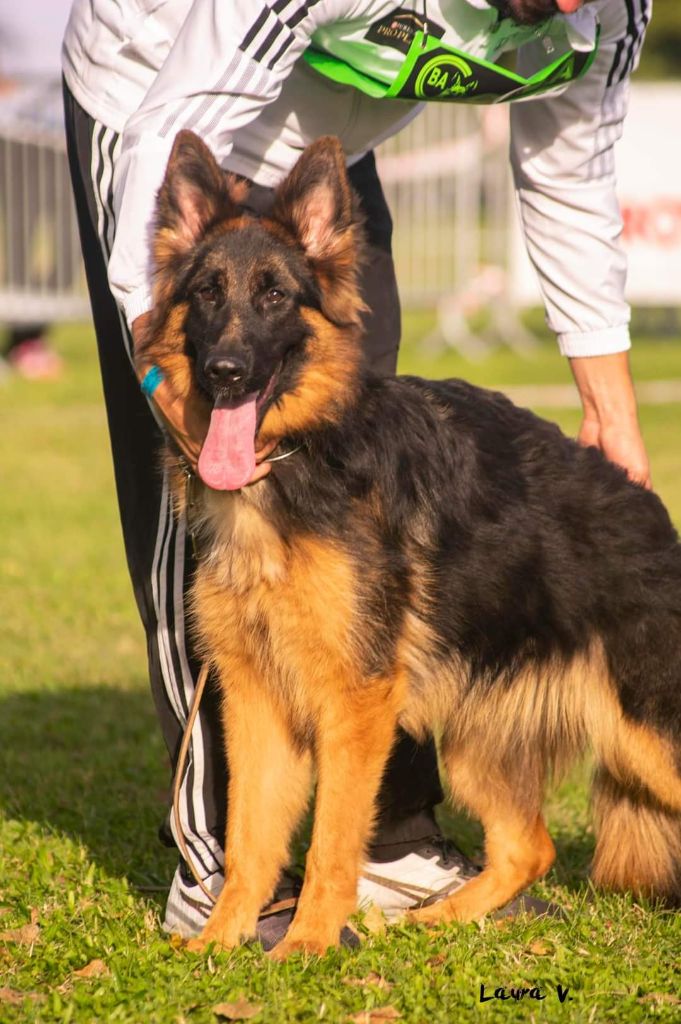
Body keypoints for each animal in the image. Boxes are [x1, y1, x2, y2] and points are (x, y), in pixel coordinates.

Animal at [139, 132, 679, 954]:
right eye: (206, 294)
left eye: (273, 296)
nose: (225, 373)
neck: (295, 459)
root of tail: (647, 507)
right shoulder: (254, 700)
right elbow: (248, 840)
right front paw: (222, 944)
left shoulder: (354, 702)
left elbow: (331, 839)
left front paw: (305, 947)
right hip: (473, 738)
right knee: (528, 847)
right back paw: (440, 919)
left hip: (648, 733)